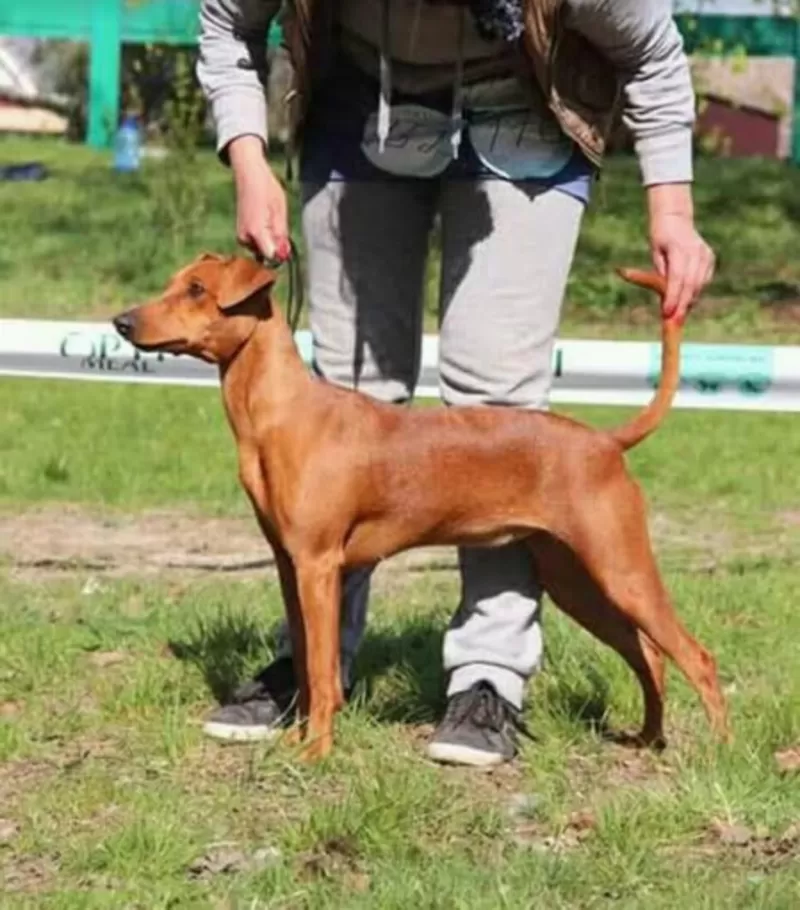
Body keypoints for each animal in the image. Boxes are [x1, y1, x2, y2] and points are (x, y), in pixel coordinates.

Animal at [114, 253, 732, 760]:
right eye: (172, 283)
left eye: (196, 289)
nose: (121, 322)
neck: (278, 415)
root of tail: (605, 442)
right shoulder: (290, 566)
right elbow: (310, 671)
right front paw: (298, 738)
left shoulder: (319, 565)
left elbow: (324, 673)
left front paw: (316, 753)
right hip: (577, 581)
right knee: (649, 655)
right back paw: (648, 740)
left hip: (622, 568)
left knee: (696, 657)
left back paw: (720, 753)